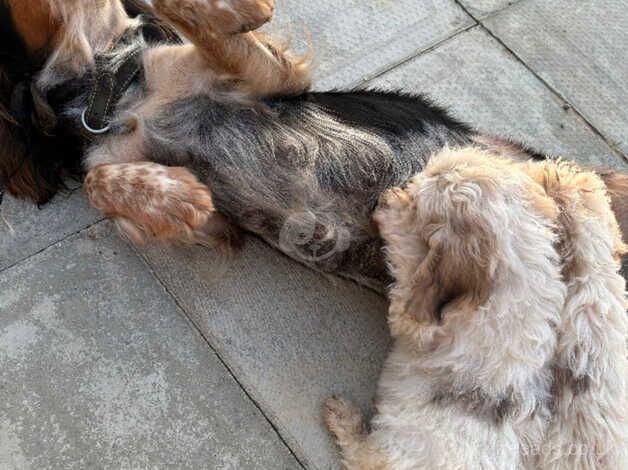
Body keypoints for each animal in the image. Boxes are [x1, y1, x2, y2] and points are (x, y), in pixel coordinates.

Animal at [324, 149, 628, 470]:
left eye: (419, 204)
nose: (391, 192)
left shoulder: (419, 320)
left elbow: (410, 266)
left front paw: (394, 212)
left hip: (399, 445)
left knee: (363, 456)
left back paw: (343, 417)